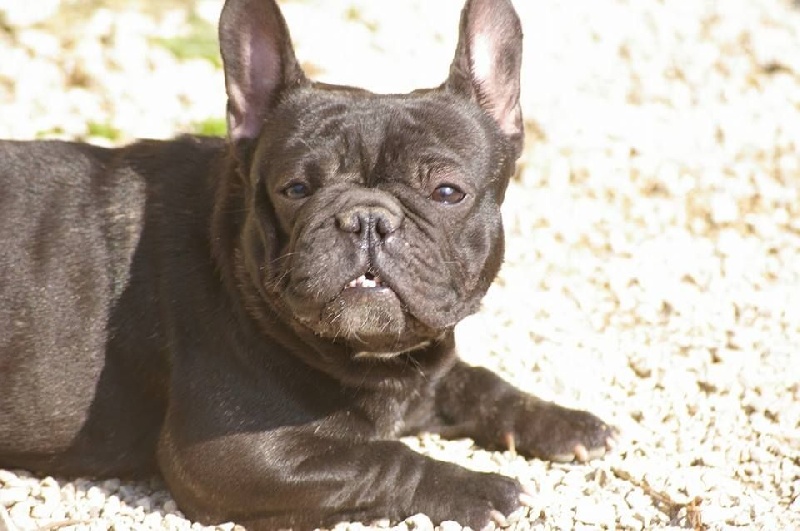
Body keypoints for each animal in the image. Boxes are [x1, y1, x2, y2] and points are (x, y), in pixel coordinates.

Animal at [0, 0, 620, 528]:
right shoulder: (232, 453)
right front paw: (478, 487)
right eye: (296, 188)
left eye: (447, 192)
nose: (368, 218)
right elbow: (381, 459)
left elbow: (478, 383)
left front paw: (560, 421)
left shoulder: (425, 371)